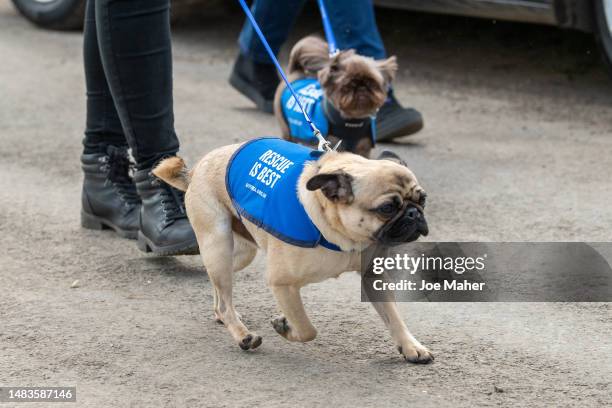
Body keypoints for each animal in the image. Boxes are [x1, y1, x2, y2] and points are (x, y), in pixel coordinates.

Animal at [151, 138, 432, 364]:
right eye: (386, 208)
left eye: (423, 199)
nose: (414, 213)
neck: (343, 234)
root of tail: (195, 170)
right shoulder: (282, 283)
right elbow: (307, 329)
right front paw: (284, 327)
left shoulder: (373, 277)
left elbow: (394, 317)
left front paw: (410, 346)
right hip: (217, 243)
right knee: (223, 297)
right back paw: (243, 335)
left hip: (237, 254)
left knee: (220, 292)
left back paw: (225, 316)